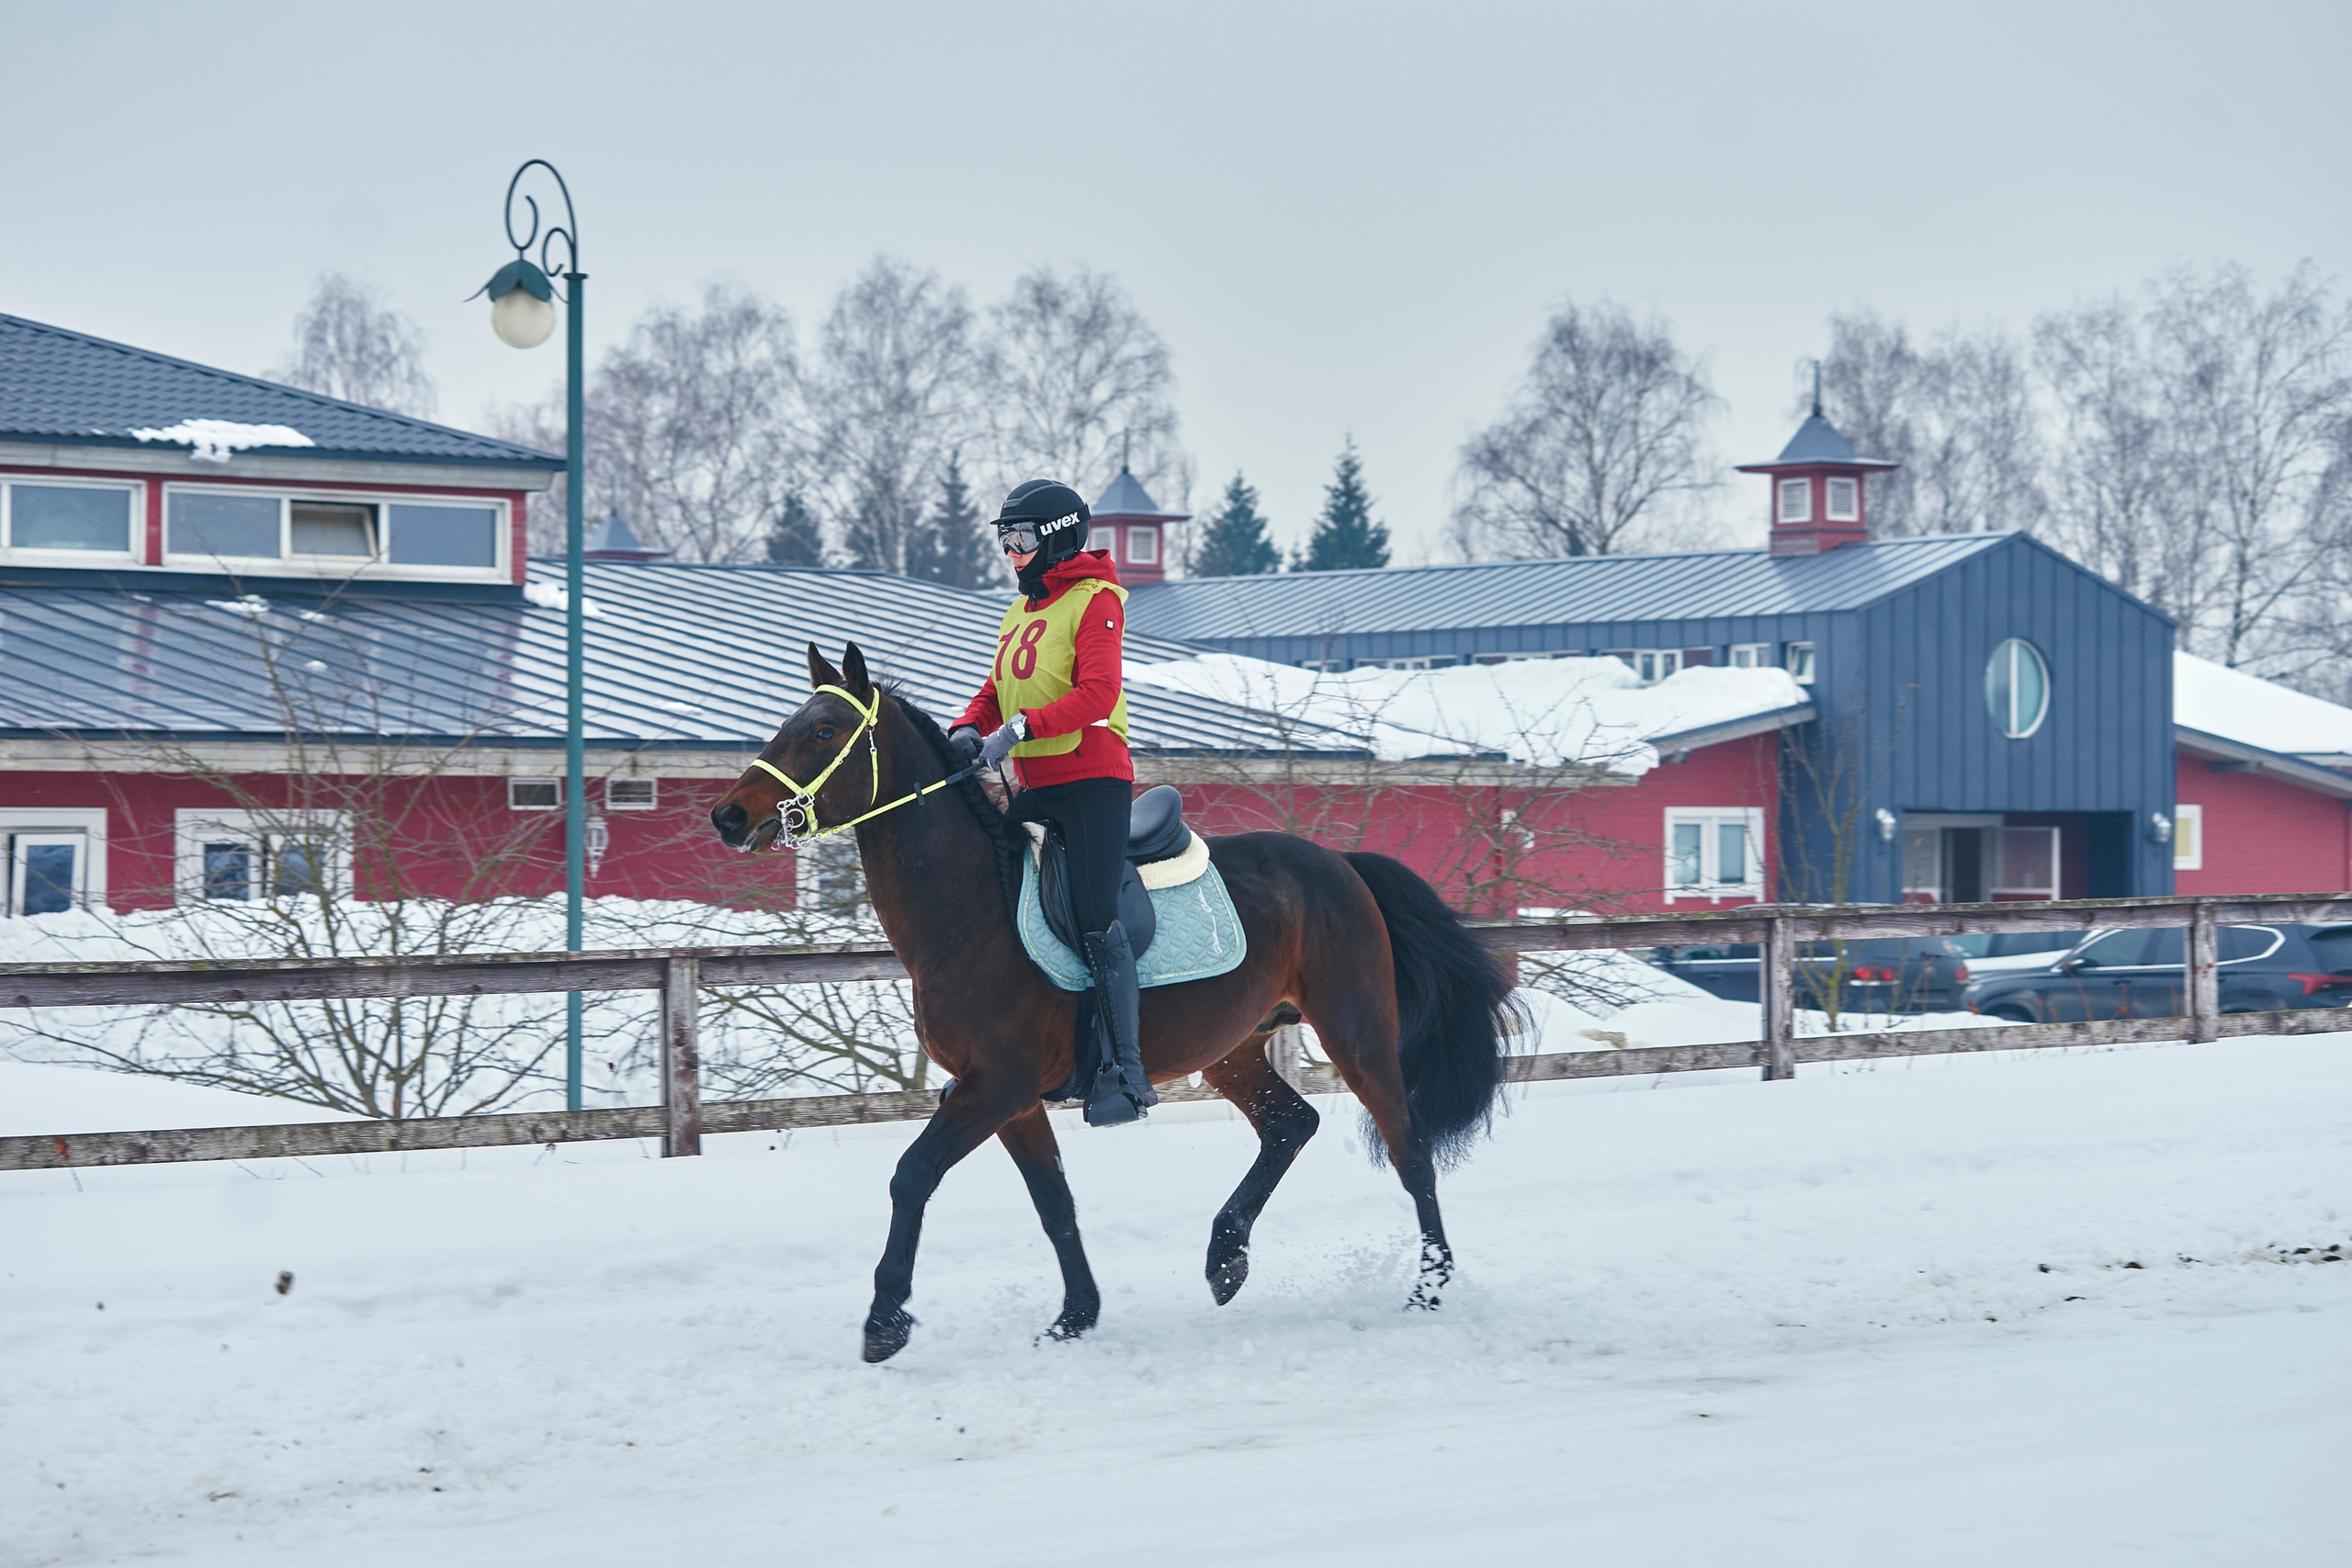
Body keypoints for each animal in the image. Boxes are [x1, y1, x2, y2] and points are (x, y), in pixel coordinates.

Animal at [708, 643, 1516, 1363]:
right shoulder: (1010, 1099)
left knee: (1410, 1150)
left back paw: (1429, 1285)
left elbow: (912, 1175)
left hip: (1357, 1032)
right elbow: (1054, 1203)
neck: (970, 911)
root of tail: (1339, 863)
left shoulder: (992, 1087)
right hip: (1233, 1048)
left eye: (823, 730)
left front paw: (885, 1319)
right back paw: (1226, 1256)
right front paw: (1076, 1314)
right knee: (1292, 1125)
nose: (728, 816)